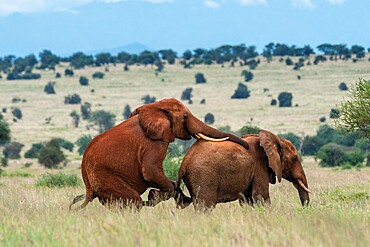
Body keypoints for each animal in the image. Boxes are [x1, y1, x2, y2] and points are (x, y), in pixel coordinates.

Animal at [69, 97, 249, 209]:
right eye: (185, 116)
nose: (246, 145)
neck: (154, 107)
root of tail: (88, 188)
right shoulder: (153, 143)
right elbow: (150, 170)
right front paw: (155, 197)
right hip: (109, 180)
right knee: (133, 202)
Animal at [172, 129, 310, 210]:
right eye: (294, 159)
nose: (304, 210)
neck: (274, 139)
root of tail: (184, 163)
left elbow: (247, 200)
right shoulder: (260, 166)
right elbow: (261, 196)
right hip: (203, 177)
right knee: (205, 207)